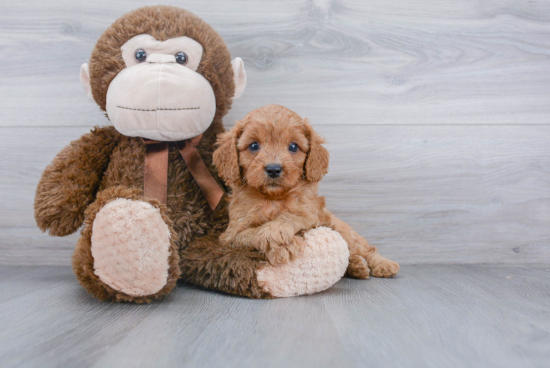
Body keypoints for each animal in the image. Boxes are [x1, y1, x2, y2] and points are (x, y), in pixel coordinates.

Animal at [215, 105, 402, 278]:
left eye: (293, 146)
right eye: (254, 145)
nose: (274, 169)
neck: (273, 198)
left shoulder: (311, 213)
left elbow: (291, 216)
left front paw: (277, 232)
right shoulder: (231, 234)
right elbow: (250, 234)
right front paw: (282, 245)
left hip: (345, 231)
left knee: (366, 249)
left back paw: (384, 265)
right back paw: (356, 266)